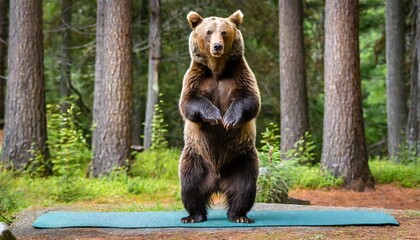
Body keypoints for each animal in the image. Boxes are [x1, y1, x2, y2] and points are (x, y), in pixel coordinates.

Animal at [177, 9, 260, 223]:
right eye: (208, 31)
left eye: (224, 32)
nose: (217, 46)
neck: (217, 70)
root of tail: (217, 181)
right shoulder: (196, 77)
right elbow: (189, 102)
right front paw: (215, 116)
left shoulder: (240, 74)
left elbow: (250, 99)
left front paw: (229, 119)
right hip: (195, 157)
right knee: (190, 185)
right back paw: (193, 215)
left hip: (242, 159)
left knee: (245, 187)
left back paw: (239, 215)